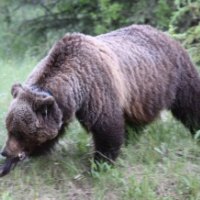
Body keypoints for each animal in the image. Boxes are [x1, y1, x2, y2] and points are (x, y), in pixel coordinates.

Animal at [0, 24, 200, 175]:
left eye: (20, 132)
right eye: (9, 128)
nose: (4, 152)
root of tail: (165, 34)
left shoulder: (97, 89)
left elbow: (106, 128)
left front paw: (99, 165)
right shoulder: (61, 109)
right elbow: (51, 134)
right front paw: (10, 164)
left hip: (175, 76)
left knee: (190, 104)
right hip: (141, 95)